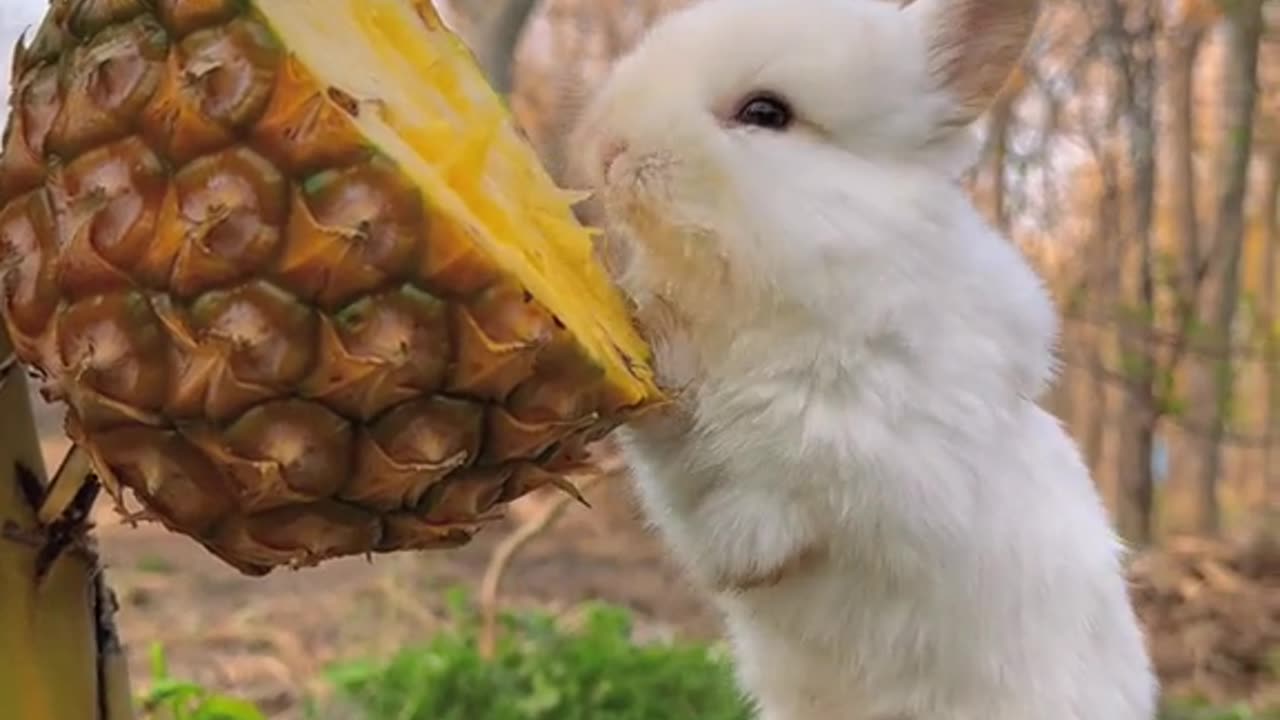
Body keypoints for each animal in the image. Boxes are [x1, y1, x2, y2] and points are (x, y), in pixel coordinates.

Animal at [570, 0, 1162, 712]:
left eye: (766, 112)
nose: (604, 146)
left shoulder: (856, 469)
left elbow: (772, 523)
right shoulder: (681, 467)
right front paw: (646, 320)